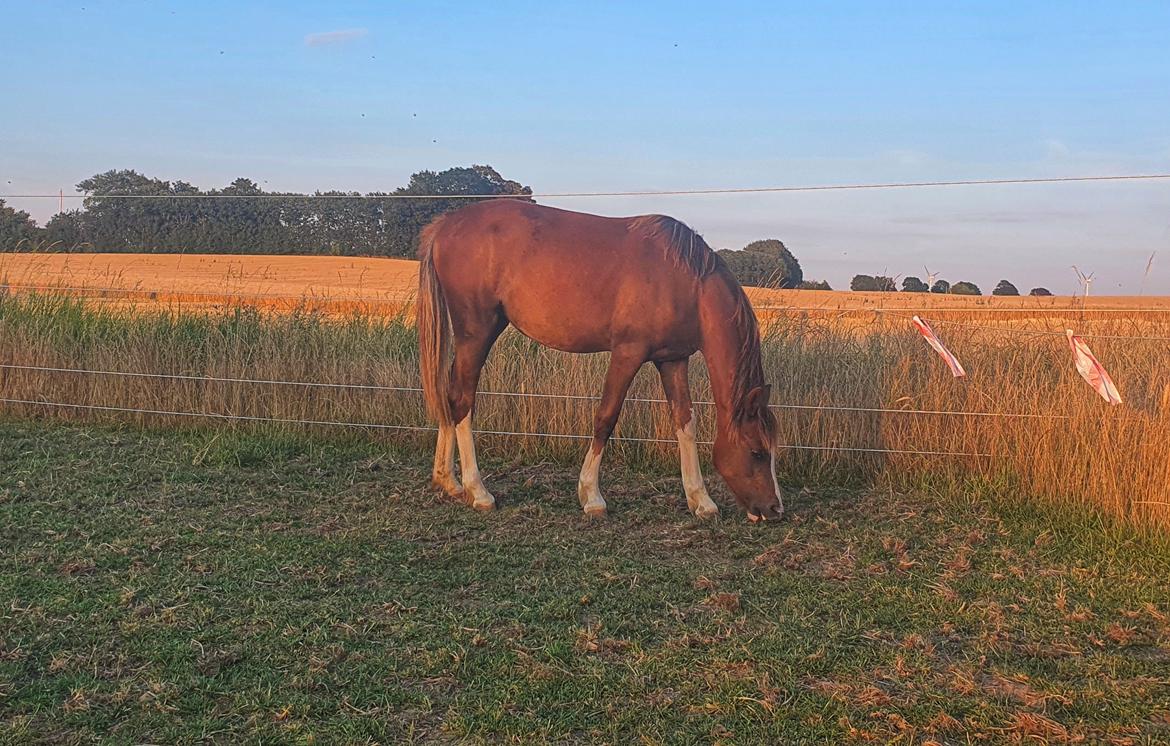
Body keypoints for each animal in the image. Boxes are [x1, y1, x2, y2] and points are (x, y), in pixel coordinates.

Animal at [417, 200, 784, 522]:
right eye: (757, 452)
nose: (774, 510)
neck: (687, 280)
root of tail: (446, 224)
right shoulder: (627, 353)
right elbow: (606, 418)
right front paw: (591, 496)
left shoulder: (673, 360)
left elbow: (685, 424)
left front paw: (701, 501)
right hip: (477, 331)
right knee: (462, 399)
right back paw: (478, 491)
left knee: (449, 394)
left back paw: (448, 480)